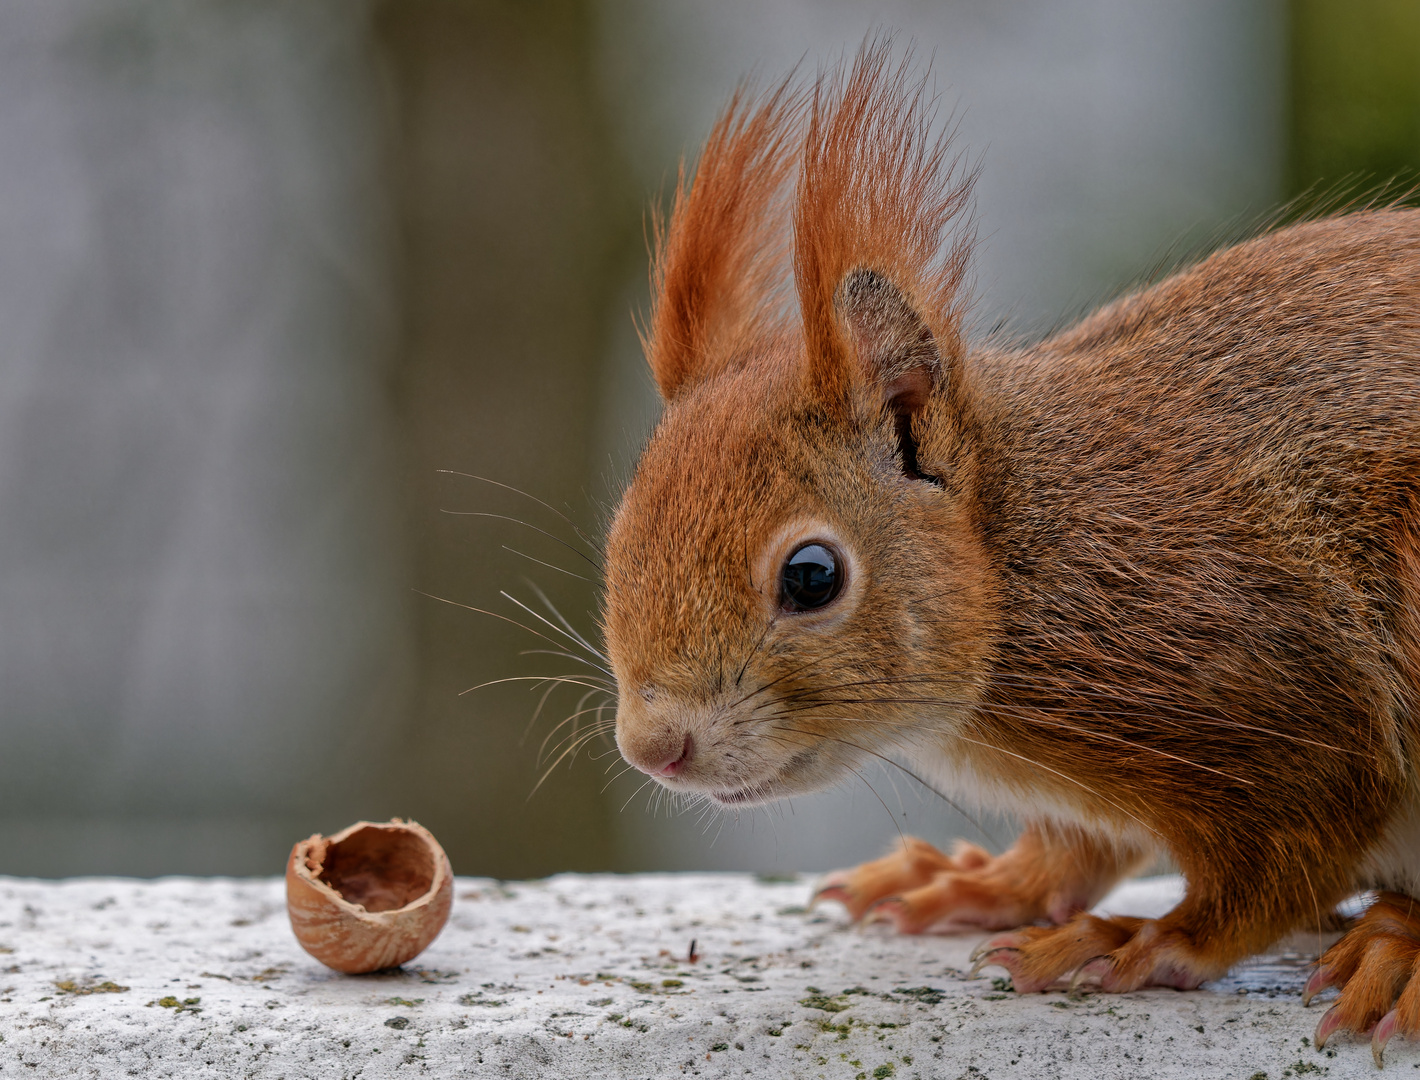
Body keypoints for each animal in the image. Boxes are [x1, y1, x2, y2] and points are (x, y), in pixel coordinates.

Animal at [599, 44, 1420, 1061]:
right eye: (621, 533)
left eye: (812, 577)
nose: (654, 749)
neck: (1025, 551)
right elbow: (1080, 847)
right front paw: (988, 882)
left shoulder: (1278, 696)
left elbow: (1287, 863)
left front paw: (1145, 942)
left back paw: (1396, 946)